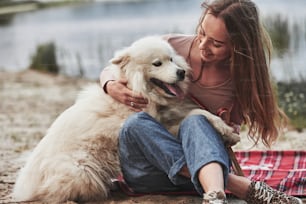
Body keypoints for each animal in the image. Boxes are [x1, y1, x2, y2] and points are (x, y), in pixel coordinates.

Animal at [13, 36, 239, 202]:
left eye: (172, 59)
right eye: (157, 63)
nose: (182, 72)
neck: (139, 91)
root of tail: (26, 184)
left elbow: (201, 113)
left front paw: (228, 132)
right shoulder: (158, 123)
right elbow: (195, 115)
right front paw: (226, 132)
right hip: (82, 171)